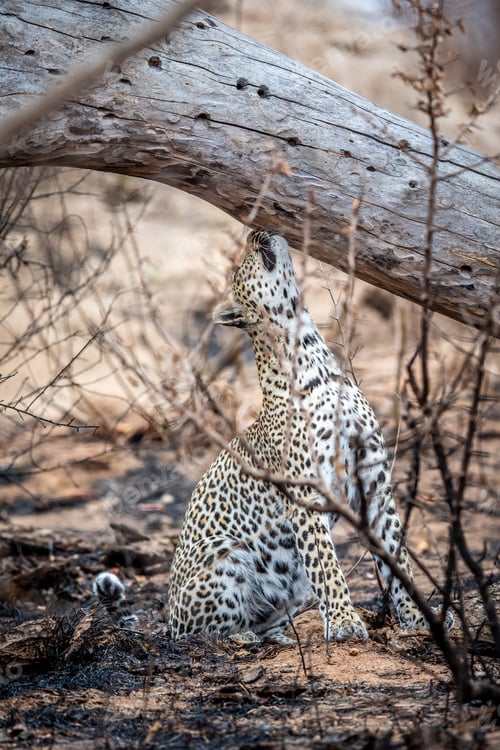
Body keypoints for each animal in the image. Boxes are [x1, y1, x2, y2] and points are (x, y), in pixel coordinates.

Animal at [167, 229, 452, 644]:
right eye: (238, 267)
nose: (253, 232)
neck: (315, 361)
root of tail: (167, 616)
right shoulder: (305, 493)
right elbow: (327, 564)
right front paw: (346, 622)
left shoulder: (375, 481)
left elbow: (396, 554)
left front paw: (418, 617)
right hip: (219, 550)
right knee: (198, 632)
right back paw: (240, 637)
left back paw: (275, 636)